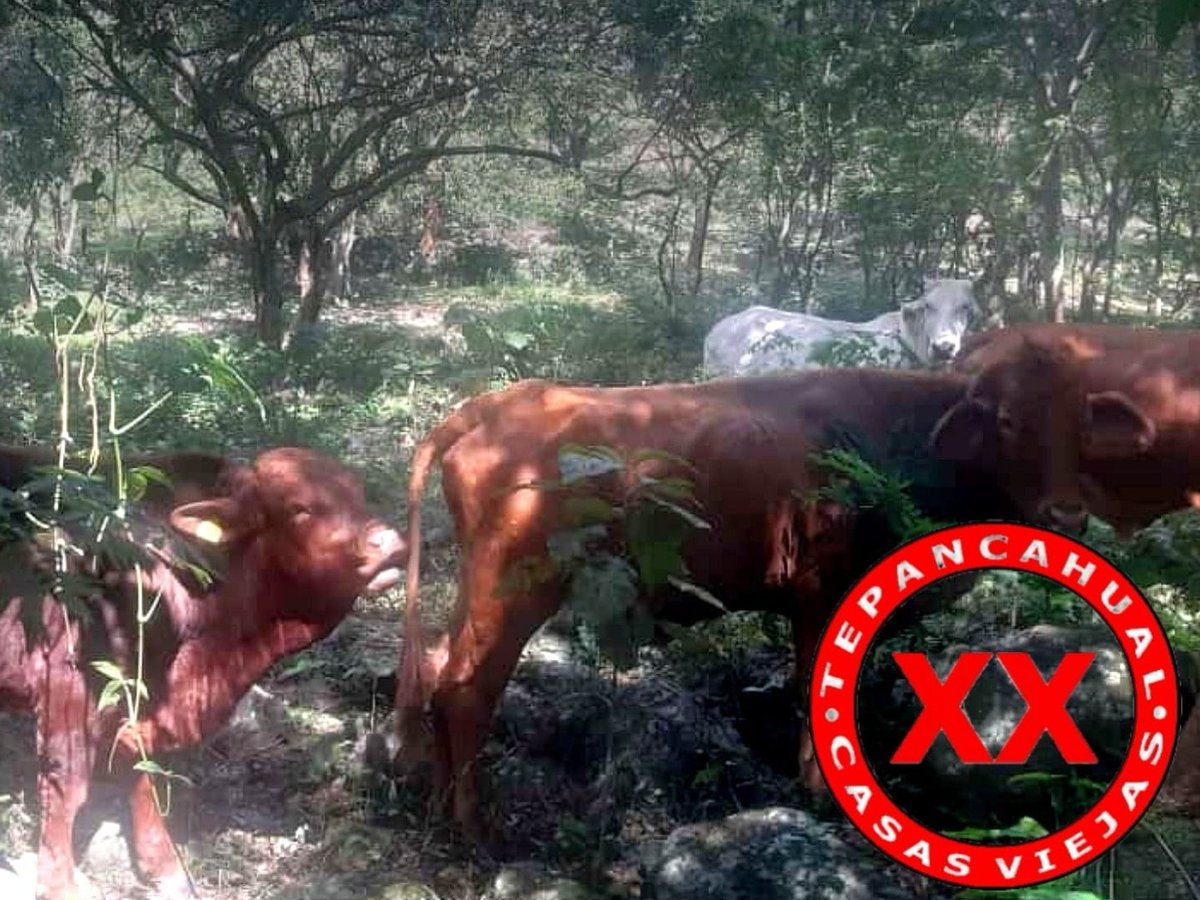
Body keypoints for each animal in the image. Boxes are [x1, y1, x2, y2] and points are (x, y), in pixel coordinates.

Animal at [0, 446, 407, 900]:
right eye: (299, 509)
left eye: (359, 493)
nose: (391, 543)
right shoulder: (66, 679)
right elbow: (66, 786)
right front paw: (60, 885)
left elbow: (142, 767)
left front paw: (165, 866)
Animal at [392, 348, 1111, 841]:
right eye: (1009, 422)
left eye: (1082, 429)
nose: (1069, 513)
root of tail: (499, 403)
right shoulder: (823, 590)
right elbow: (817, 688)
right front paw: (820, 794)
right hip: (517, 588)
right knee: (466, 691)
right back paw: (475, 830)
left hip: (477, 589)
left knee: (437, 673)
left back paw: (438, 810)